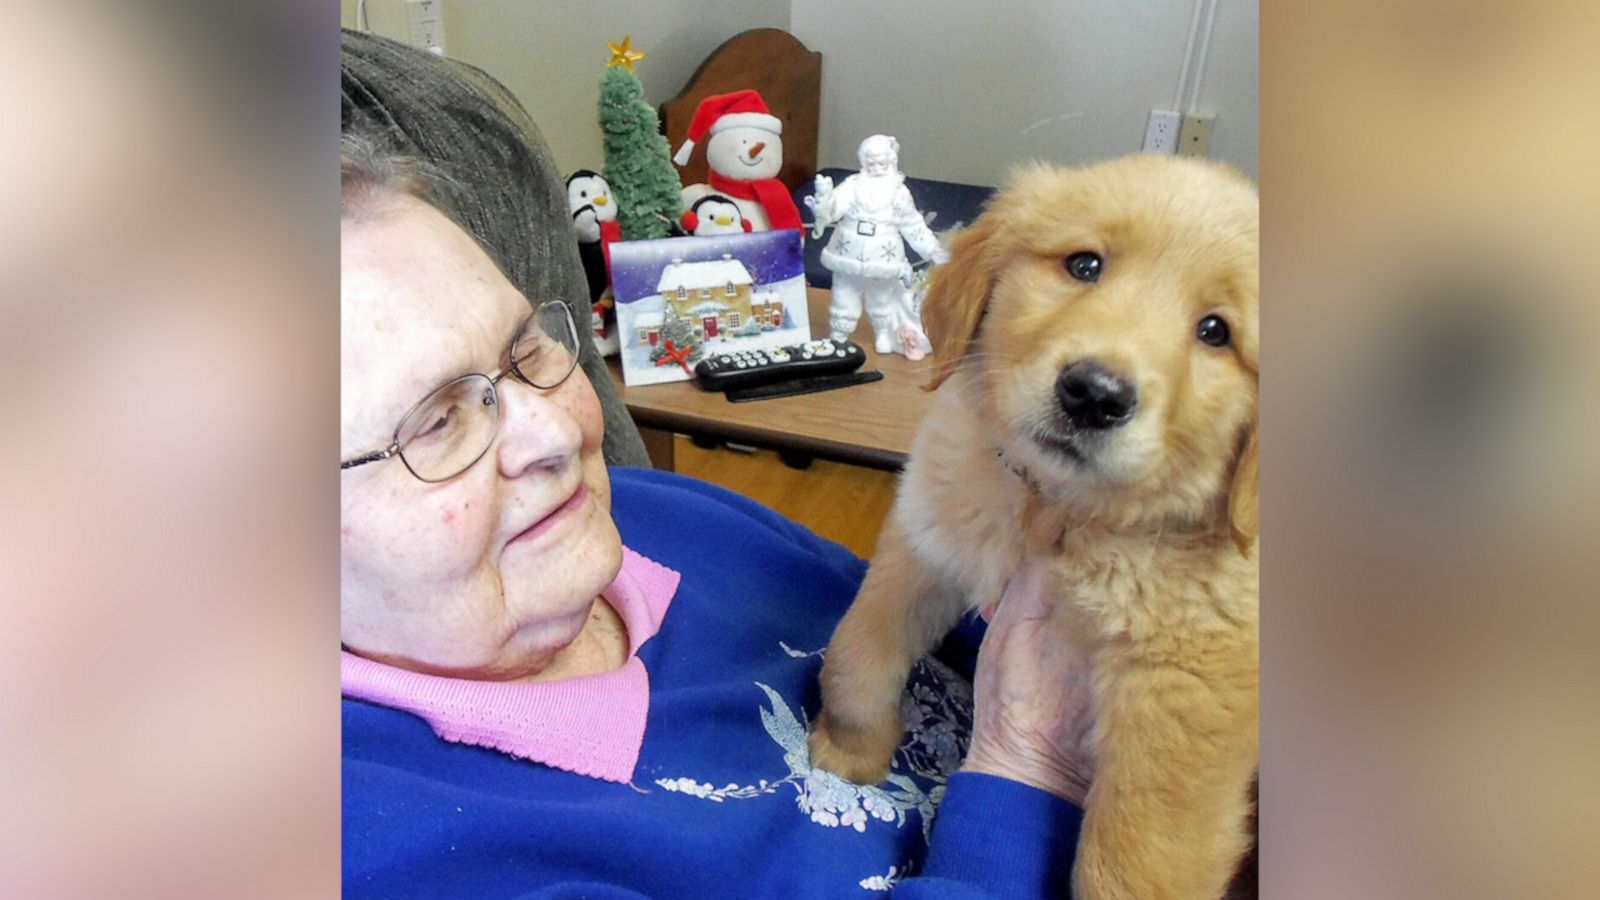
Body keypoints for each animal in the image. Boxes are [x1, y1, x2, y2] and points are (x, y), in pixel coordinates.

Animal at [812, 156, 1260, 896]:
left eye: (1216, 332)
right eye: (1084, 265)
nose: (1095, 395)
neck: (1059, 511)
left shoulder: (1187, 689)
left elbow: (1137, 854)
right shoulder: (929, 538)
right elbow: (859, 648)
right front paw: (849, 750)